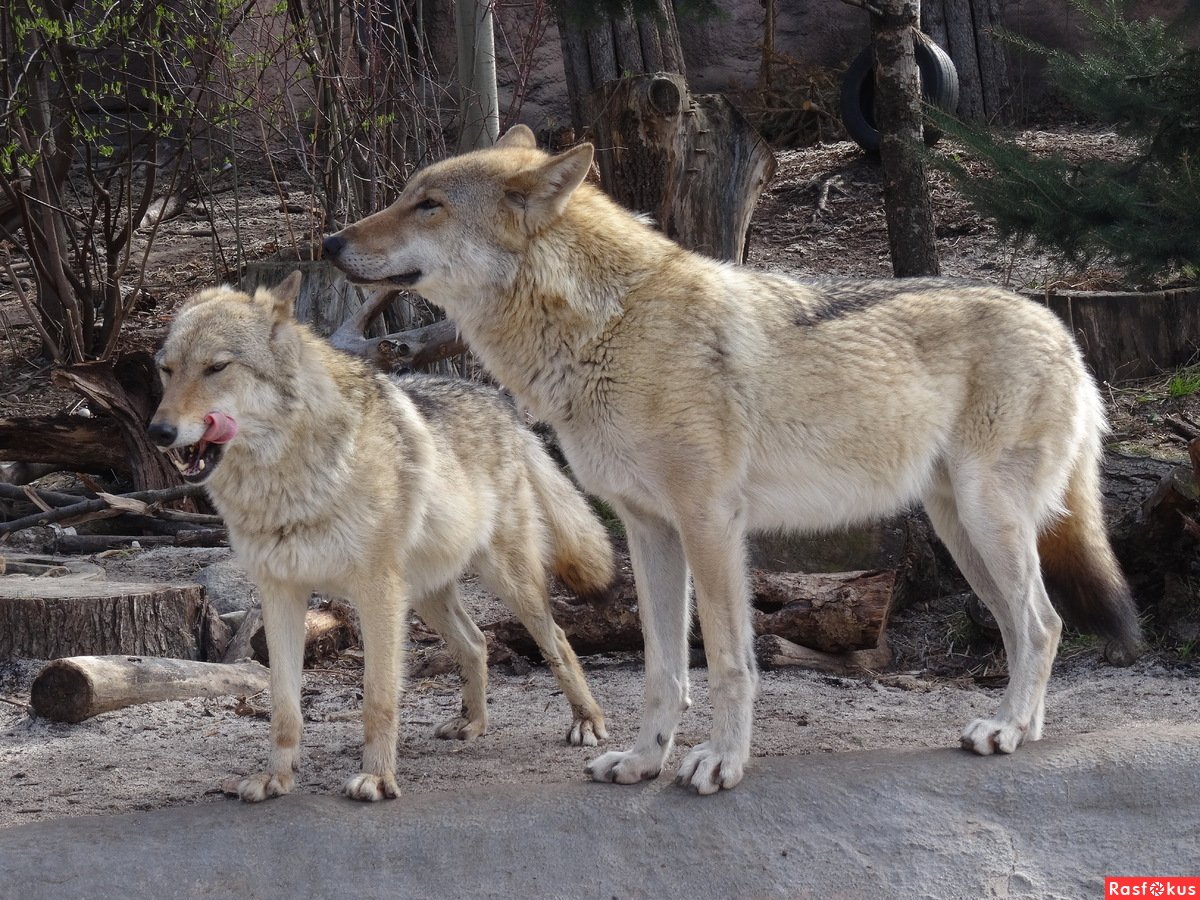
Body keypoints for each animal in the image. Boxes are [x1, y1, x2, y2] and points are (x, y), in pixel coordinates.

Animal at [148, 274, 614, 801]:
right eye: (167, 370)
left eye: (217, 367)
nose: (159, 431)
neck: (289, 479)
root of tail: (504, 407)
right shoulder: (280, 592)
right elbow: (284, 705)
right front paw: (276, 778)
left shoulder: (377, 593)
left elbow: (378, 698)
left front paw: (377, 776)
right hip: (426, 595)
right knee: (476, 643)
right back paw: (471, 723)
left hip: (505, 581)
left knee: (557, 639)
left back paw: (587, 721)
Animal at [321, 125, 1142, 796]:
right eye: (405, 197)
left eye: (429, 205)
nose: (329, 244)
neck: (609, 326)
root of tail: (1059, 328)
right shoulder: (649, 529)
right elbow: (662, 667)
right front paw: (643, 761)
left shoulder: (711, 523)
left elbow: (726, 662)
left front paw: (720, 763)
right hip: (962, 531)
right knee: (1025, 625)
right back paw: (1019, 726)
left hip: (986, 519)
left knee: (1043, 623)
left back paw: (1005, 728)